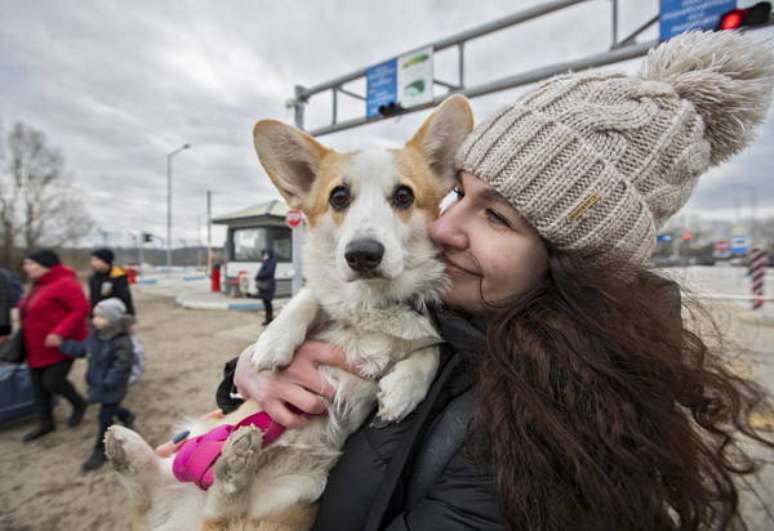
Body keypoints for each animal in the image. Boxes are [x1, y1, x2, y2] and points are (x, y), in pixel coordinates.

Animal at [104, 95, 472, 531]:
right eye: (338, 197)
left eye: (403, 196)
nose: (362, 254)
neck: (374, 301)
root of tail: (184, 516)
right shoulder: (324, 297)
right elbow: (309, 297)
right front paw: (274, 342)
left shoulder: (428, 329)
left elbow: (431, 350)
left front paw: (401, 391)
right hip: (195, 453)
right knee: (160, 493)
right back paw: (137, 449)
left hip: (294, 493)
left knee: (223, 506)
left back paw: (232, 464)